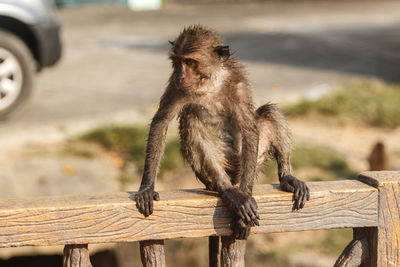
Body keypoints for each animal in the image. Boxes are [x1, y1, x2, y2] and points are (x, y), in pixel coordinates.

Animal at [134, 25, 310, 266]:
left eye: (190, 62)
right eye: (178, 62)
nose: (181, 75)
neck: (210, 81)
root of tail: (233, 177)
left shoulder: (238, 82)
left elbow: (249, 128)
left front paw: (245, 205)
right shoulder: (177, 86)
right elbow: (161, 122)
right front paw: (146, 188)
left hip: (249, 164)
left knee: (269, 112)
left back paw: (285, 178)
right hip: (210, 173)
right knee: (191, 120)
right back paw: (228, 190)